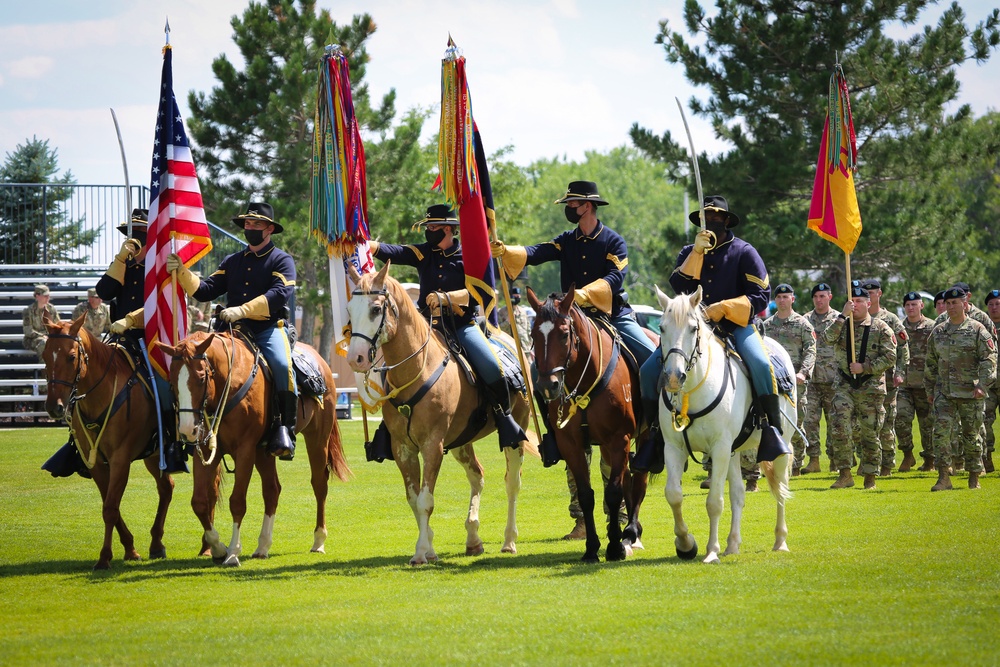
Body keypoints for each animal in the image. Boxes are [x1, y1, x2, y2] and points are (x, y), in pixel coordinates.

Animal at [41, 318, 176, 568]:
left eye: (71, 356)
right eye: (44, 355)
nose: (54, 407)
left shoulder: (120, 460)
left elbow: (111, 509)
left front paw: (104, 557)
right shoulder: (95, 462)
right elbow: (109, 504)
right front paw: (130, 549)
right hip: (154, 456)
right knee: (166, 488)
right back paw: (156, 544)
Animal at [158, 332, 354, 568]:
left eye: (202, 377)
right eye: (171, 383)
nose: (188, 430)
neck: (230, 384)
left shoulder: (245, 451)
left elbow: (237, 502)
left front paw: (233, 552)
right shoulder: (206, 449)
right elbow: (200, 502)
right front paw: (218, 548)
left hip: (317, 439)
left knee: (319, 484)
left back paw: (318, 540)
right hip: (264, 452)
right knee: (272, 490)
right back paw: (263, 546)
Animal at [346, 264, 536, 568]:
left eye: (376, 309)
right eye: (350, 310)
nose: (356, 359)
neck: (417, 369)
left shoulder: (432, 445)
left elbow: (426, 500)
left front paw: (422, 551)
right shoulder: (403, 448)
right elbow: (414, 499)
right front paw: (430, 548)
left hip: (516, 430)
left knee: (512, 483)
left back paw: (509, 541)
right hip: (461, 442)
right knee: (477, 476)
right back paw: (473, 538)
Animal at [528, 288, 652, 564]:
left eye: (564, 334)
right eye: (532, 334)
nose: (548, 385)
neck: (583, 381)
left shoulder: (619, 438)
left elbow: (614, 492)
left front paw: (615, 547)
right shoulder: (571, 444)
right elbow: (586, 495)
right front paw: (592, 548)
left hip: (644, 435)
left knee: (639, 478)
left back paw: (631, 533)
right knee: (627, 478)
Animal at [652, 284, 792, 568]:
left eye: (693, 328)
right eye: (661, 327)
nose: (673, 377)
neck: (693, 392)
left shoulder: (719, 447)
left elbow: (714, 501)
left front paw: (711, 551)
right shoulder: (673, 447)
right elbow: (673, 495)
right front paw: (686, 543)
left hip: (781, 445)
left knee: (781, 489)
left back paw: (780, 542)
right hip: (734, 451)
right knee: (738, 494)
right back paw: (732, 545)